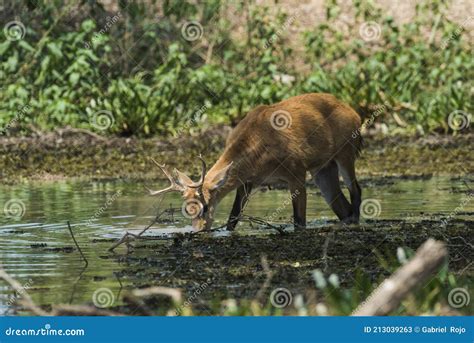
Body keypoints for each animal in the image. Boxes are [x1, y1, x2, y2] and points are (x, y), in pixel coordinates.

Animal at [148, 93, 362, 231]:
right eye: (187, 209)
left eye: (206, 206)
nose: (198, 231)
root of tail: (355, 114)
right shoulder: (247, 182)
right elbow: (233, 218)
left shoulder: (297, 171)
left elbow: (299, 222)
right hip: (322, 167)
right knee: (340, 203)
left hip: (346, 150)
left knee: (356, 191)